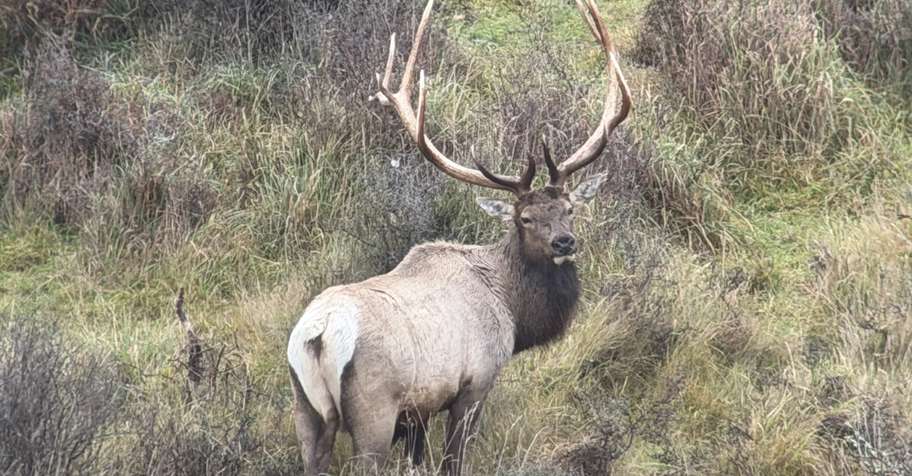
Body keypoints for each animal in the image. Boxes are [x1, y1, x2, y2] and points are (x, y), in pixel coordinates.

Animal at [286, 0, 630, 474]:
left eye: (570, 209)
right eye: (524, 218)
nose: (564, 243)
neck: (514, 312)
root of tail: (318, 335)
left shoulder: (419, 411)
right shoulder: (475, 383)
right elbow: (453, 459)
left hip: (305, 407)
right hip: (373, 411)